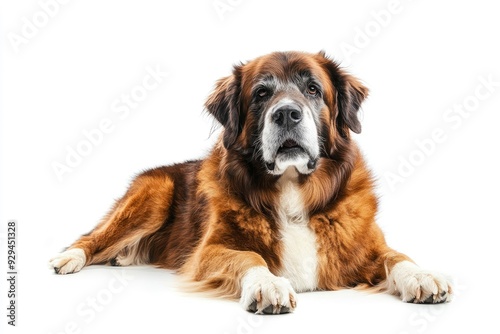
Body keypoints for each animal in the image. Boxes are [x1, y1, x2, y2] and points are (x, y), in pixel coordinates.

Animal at [50, 51, 454, 314]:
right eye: (261, 93)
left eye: (313, 89)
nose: (287, 113)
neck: (293, 190)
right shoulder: (207, 252)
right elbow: (249, 256)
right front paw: (268, 284)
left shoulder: (366, 243)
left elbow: (396, 255)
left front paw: (422, 275)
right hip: (154, 193)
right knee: (92, 237)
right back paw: (68, 258)